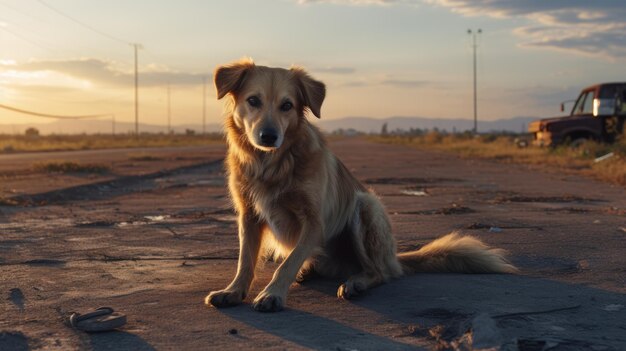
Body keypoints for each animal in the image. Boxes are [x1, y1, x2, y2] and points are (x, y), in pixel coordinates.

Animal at [205, 58, 516, 314]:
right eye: (253, 100)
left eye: (287, 105)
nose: (269, 136)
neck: (271, 164)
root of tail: (394, 258)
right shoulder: (248, 215)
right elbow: (245, 260)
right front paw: (233, 291)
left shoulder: (314, 222)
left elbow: (287, 263)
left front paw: (273, 294)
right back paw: (311, 271)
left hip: (365, 207)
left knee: (379, 272)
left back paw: (356, 283)